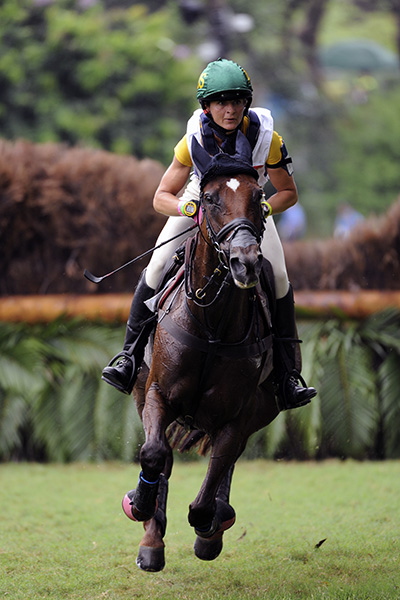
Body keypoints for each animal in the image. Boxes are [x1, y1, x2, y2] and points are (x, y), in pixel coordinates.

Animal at [122, 132, 282, 572]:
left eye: (258, 195)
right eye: (208, 198)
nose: (245, 263)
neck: (211, 324)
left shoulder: (238, 413)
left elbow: (216, 470)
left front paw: (208, 522)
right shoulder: (156, 392)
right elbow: (154, 453)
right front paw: (140, 506)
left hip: (262, 409)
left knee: (227, 460)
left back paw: (214, 525)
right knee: (162, 456)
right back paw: (151, 540)